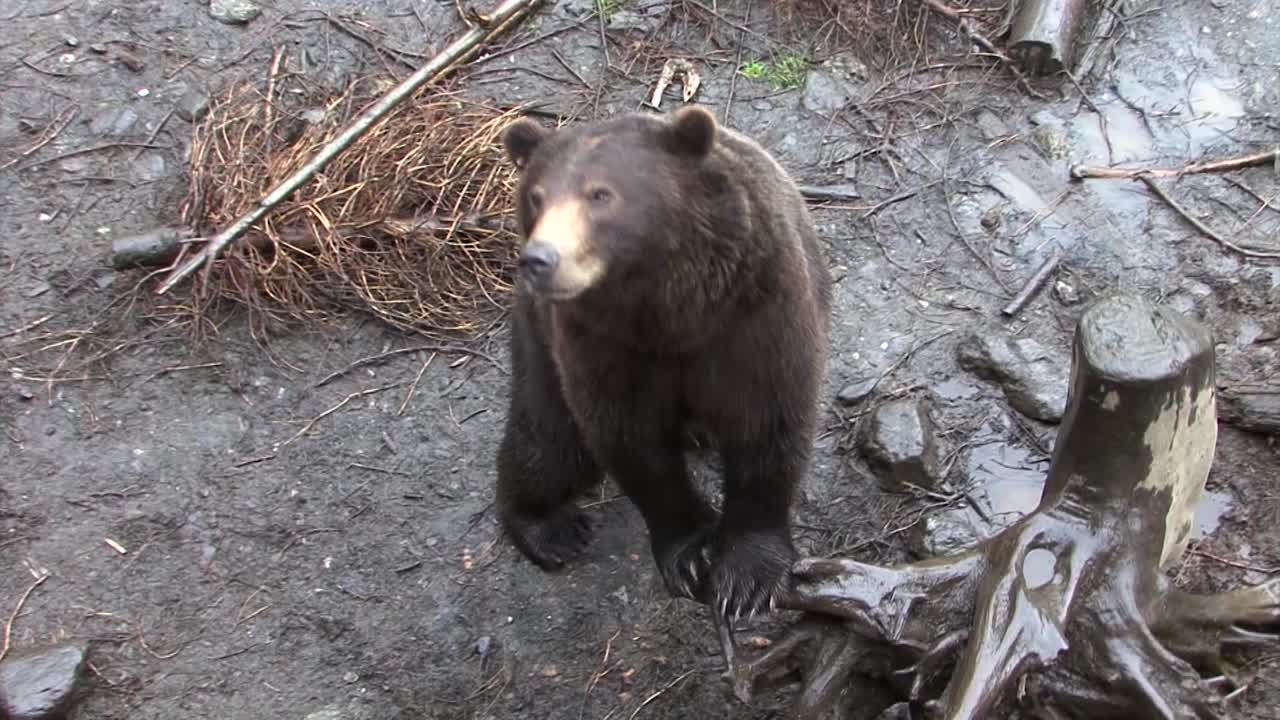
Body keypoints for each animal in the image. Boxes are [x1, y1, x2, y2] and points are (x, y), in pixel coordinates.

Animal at [494, 104, 832, 621]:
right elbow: (630, 441)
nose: (539, 259)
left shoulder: (756, 313)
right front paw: (690, 552)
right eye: (536, 197)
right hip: (537, 338)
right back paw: (549, 526)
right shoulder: (603, 343)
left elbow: (767, 421)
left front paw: (748, 575)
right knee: (549, 439)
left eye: (600, 194)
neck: (671, 310)